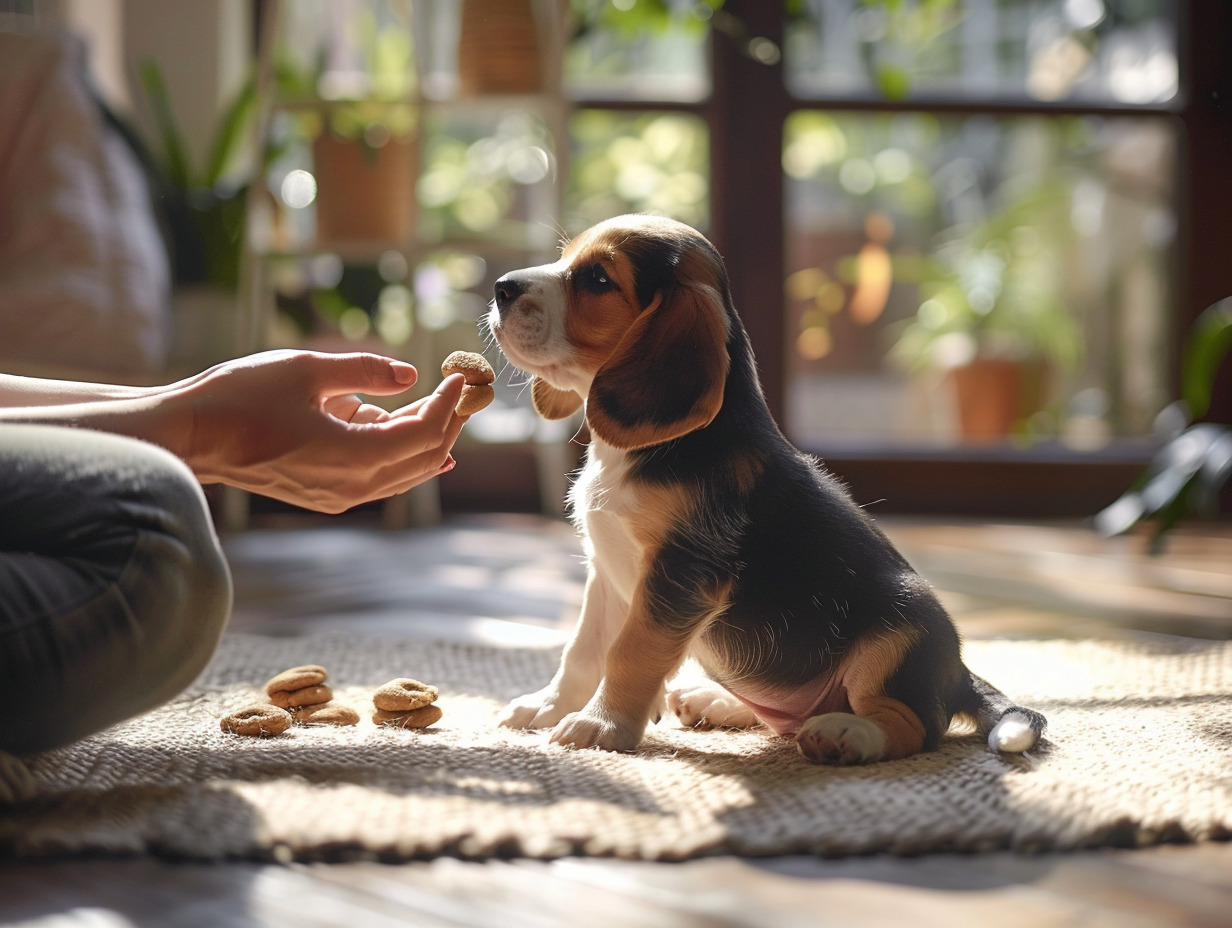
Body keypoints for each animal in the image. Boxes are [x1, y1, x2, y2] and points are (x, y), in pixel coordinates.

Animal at [485, 213, 1044, 764]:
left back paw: (845, 734)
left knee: (914, 727)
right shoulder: (607, 571)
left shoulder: (679, 574)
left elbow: (628, 654)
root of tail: (959, 672)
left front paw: (602, 726)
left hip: (899, 636)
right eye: (565, 258)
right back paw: (714, 700)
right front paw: (549, 707)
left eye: (599, 279)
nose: (500, 287)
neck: (638, 453)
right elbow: (583, 649)